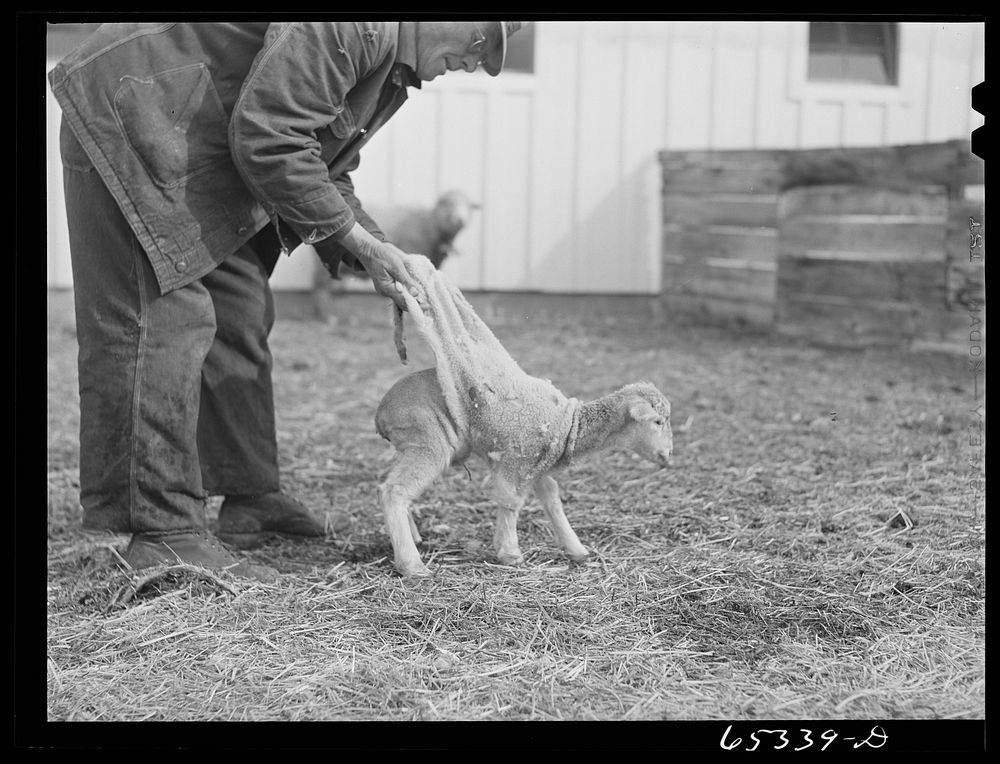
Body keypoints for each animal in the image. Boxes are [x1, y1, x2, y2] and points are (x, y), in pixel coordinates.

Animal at [376, 260, 672, 576]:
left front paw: (577, 550)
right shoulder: (517, 461)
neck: (572, 424)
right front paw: (510, 553)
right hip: (428, 441)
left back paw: (414, 538)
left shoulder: (538, 464)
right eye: (657, 422)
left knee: (388, 485)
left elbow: (552, 499)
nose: (669, 456)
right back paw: (412, 565)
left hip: (411, 443)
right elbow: (511, 503)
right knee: (394, 491)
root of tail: (381, 413)